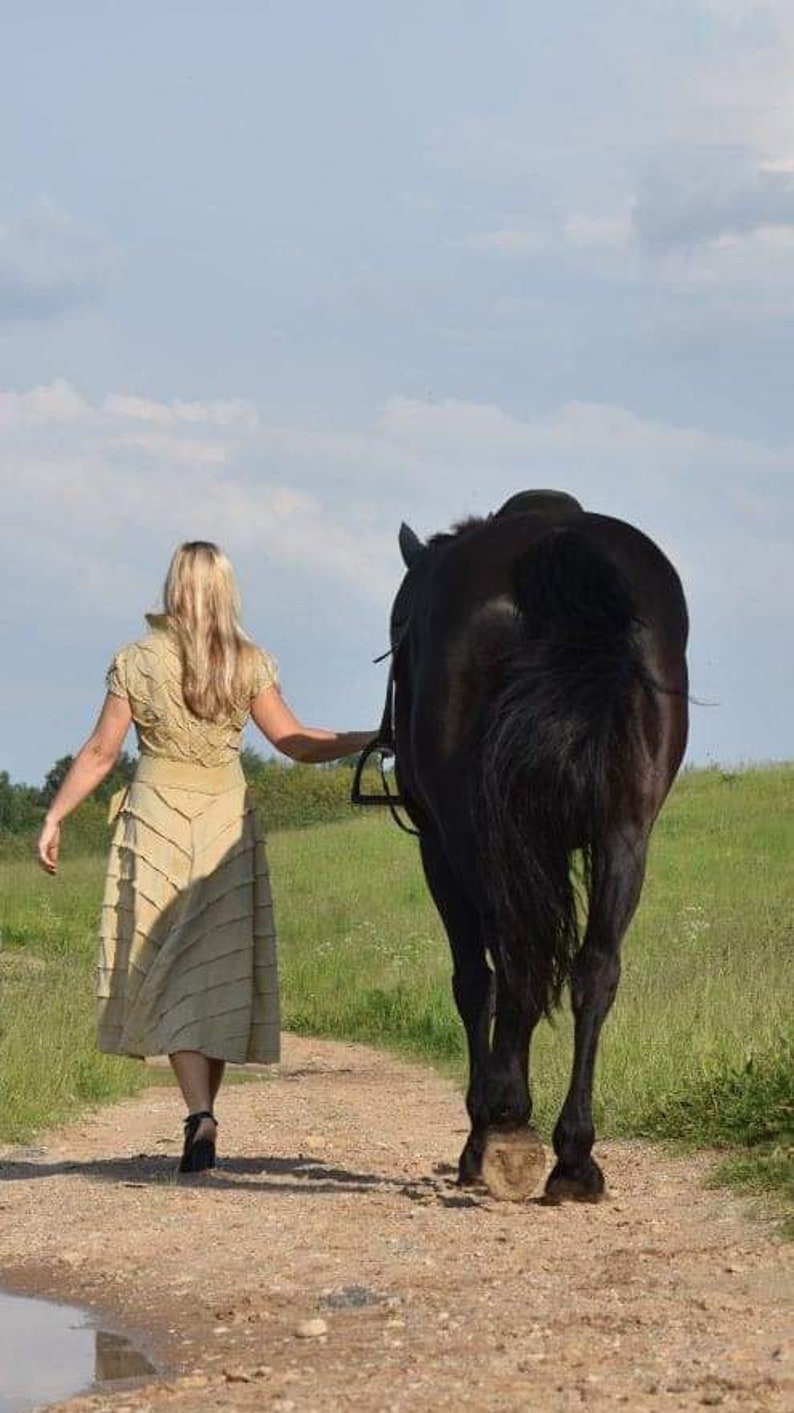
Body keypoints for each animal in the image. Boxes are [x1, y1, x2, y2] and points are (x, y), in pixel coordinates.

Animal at [387, 490, 689, 1203]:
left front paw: (485, 1131)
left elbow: (476, 982)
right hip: (625, 835)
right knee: (595, 971)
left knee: (514, 965)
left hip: (476, 842)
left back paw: (505, 1129)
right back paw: (574, 1157)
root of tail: (557, 544)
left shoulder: (440, 850)